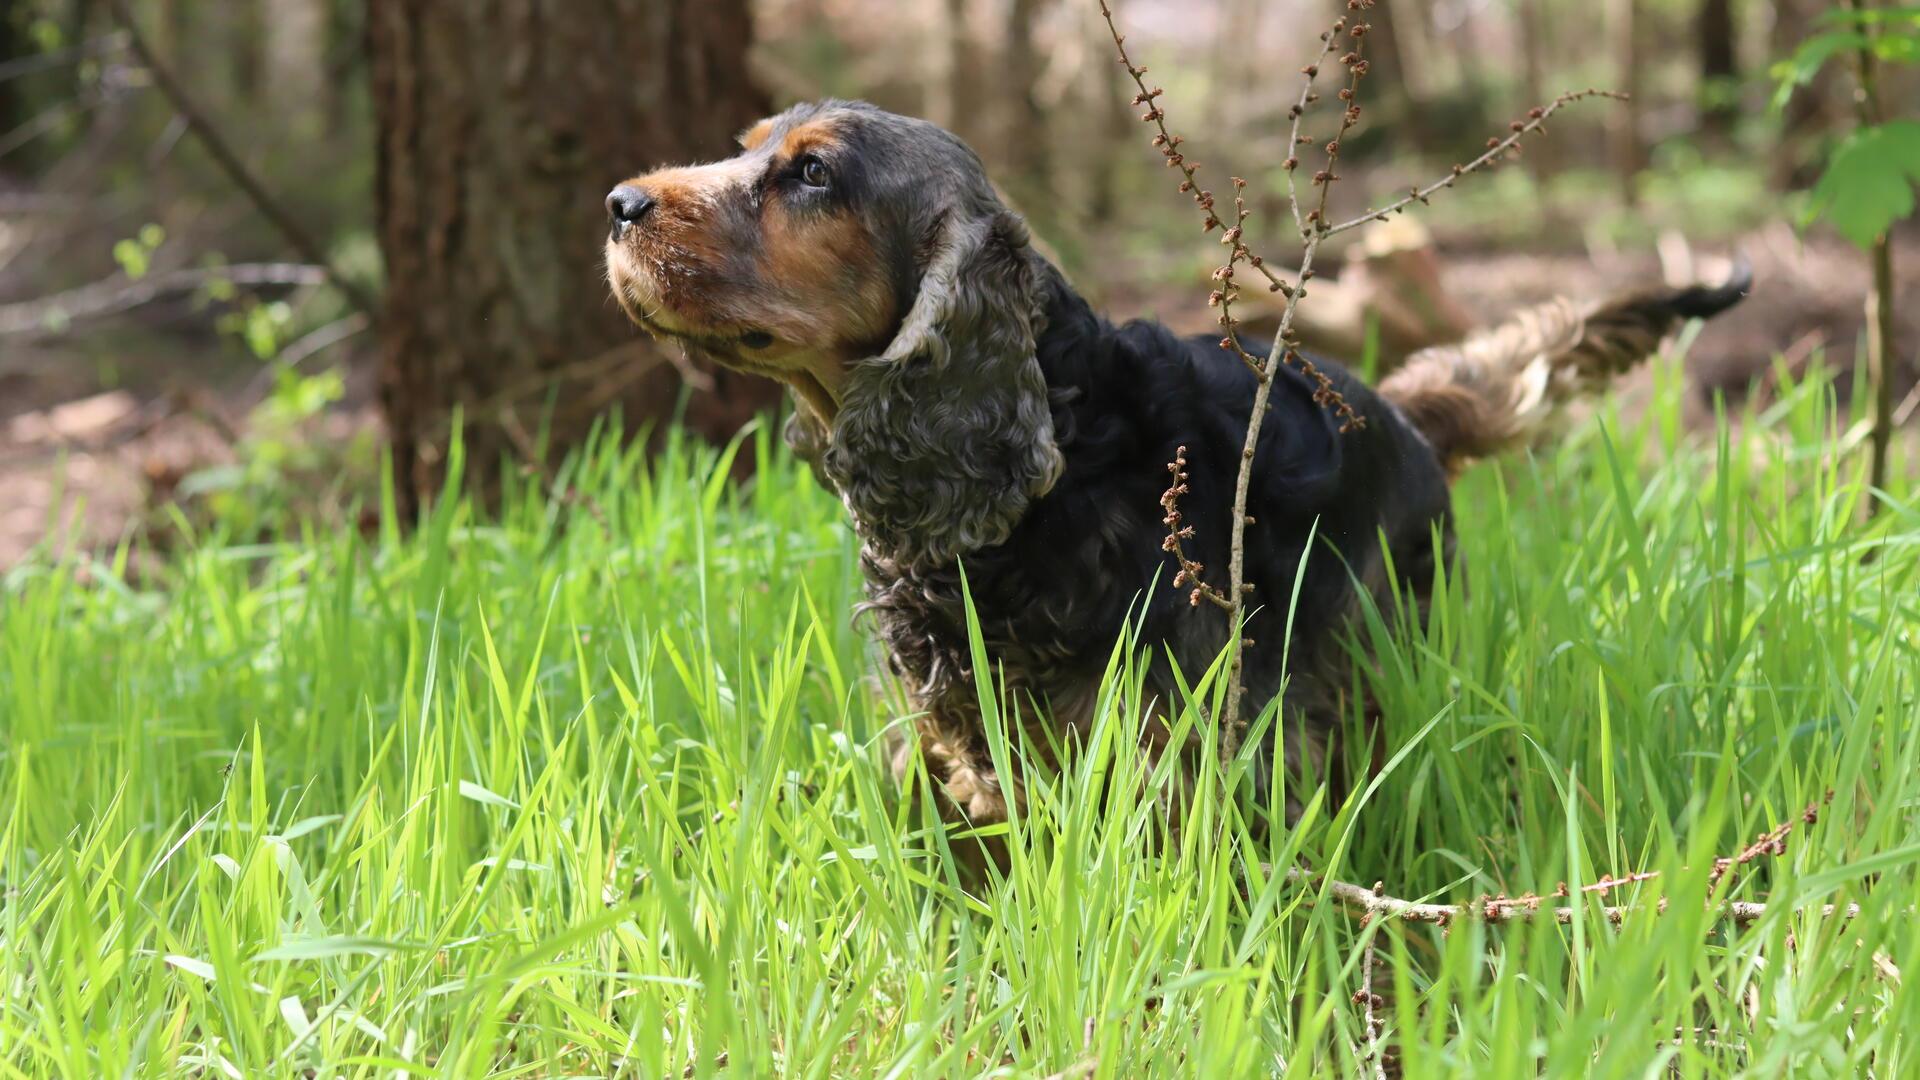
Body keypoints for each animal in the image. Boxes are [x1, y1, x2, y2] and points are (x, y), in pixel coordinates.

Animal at [602, 98, 1758, 822]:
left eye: (811, 174)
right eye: (746, 146)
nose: (618, 204)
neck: (1063, 456)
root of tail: (1408, 411)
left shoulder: (1194, 743)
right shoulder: (960, 745)